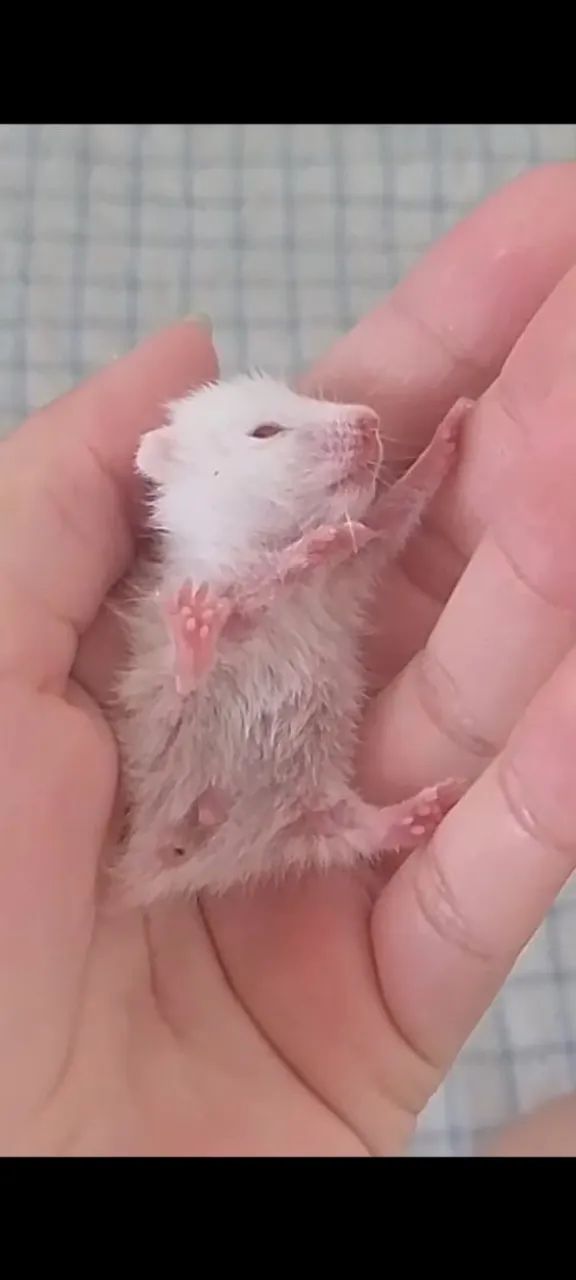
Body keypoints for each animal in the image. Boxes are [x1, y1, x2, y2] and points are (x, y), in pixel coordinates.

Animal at [111, 372, 470, 906]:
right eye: (265, 431)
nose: (370, 420)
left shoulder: (354, 564)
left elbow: (392, 517)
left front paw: (449, 429)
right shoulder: (219, 583)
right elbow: (258, 591)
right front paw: (313, 547)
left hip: (307, 804)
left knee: (345, 830)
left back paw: (412, 817)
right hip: (161, 726)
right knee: (179, 688)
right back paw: (194, 638)